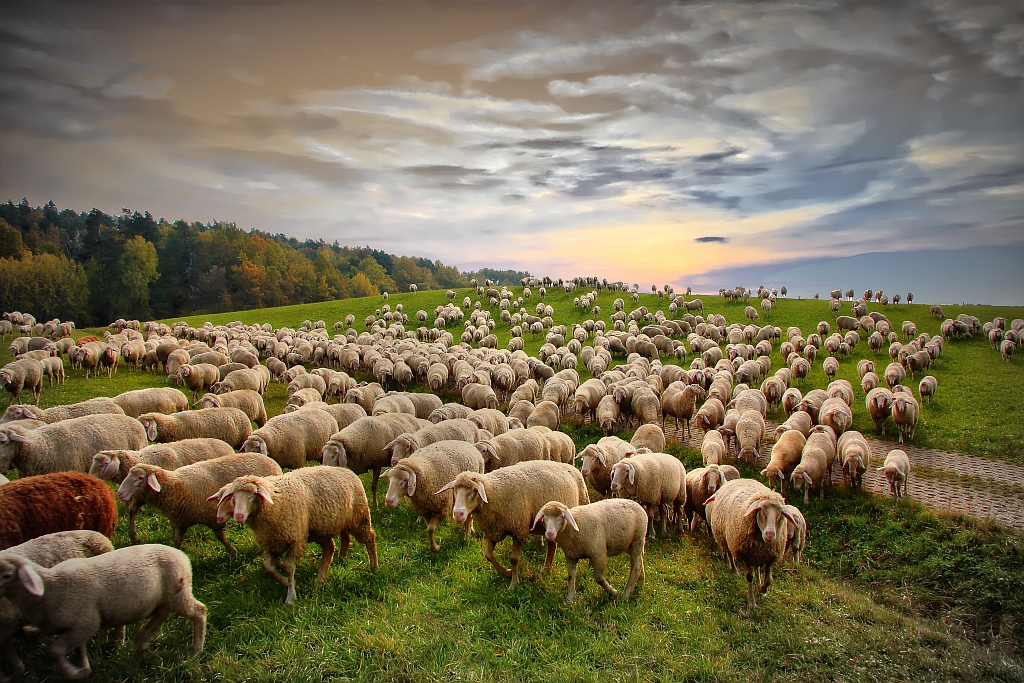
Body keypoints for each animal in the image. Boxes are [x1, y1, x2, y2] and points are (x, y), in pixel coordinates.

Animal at [0, 544, 205, 679]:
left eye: (7, 575)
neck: (50, 588)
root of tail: (182, 555)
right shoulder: (77, 627)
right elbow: (78, 648)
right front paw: (84, 669)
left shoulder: (87, 623)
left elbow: (55, 650)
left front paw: (73, 673)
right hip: (166, 598)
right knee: (162, 614)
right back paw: (142, 642)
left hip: (178, 593)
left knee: (199, 612)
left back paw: (195, 651)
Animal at [212, 466, 380, 606]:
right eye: (233, 497)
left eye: (253, 494)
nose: (239, 516)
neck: (274, 501)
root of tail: (347, 470)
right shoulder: (269, 542)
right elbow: (268, 566)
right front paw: (286, 581)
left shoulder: (295, 540)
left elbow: (289, 568)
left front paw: (290, 596)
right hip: (324, 527)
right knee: (332, 547)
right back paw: (323, 576)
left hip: (358, 518)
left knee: (369, 538)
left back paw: (374, 568)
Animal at [436, 458, 589, 589]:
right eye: (454, 489)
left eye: (474, 490)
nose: (458, 514)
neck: (493, 492)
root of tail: (571, 467)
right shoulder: (493, 530)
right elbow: (488, 555)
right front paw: (507, 573)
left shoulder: (518, 530)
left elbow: (514, 559)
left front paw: (514, 584)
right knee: (552, 546)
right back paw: (546, 570)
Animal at [704, 481, 798, 610]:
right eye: (762, 510)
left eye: (780, 514)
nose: (770, 534)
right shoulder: (742, 554)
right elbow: (749, 576)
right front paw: (751, 602)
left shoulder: (771, 557)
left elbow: (769, 580)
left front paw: (762, 590)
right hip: (727, 539)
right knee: (730, 555)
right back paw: (734, 570)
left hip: (756, 554)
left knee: (757, 568)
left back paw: (758, 584)